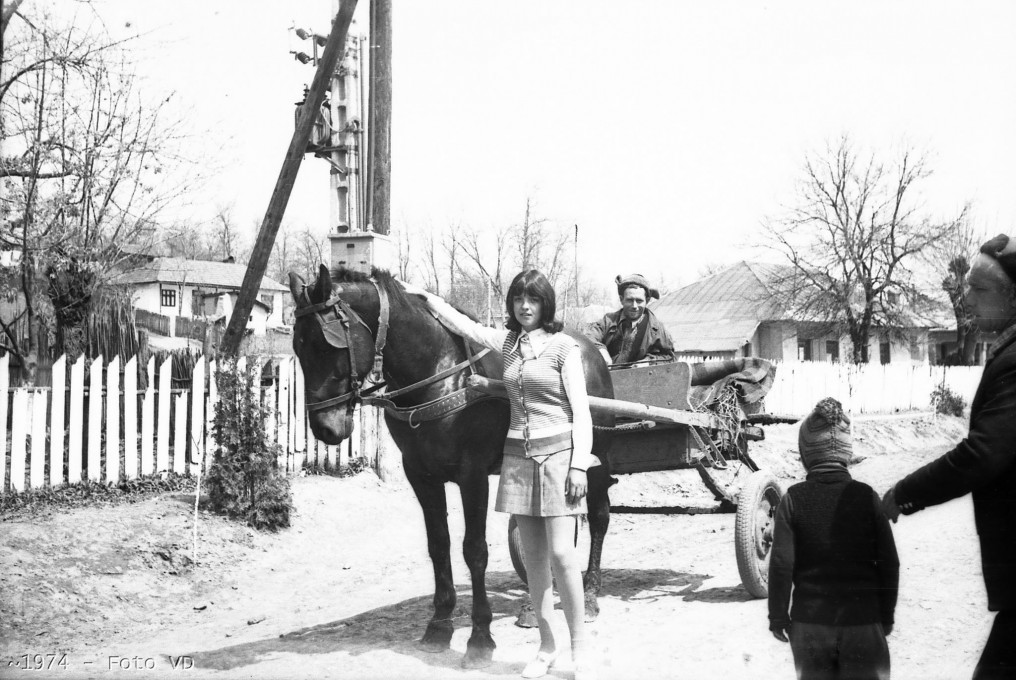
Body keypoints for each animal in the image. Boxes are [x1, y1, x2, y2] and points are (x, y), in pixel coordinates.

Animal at [288, 265, 615, 668]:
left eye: (327, 343)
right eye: (298, 346)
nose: (325, 429)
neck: (439, 375)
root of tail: (588, 348)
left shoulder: (472, 475)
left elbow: (474, 550)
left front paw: (480, 637)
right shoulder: (421, 475)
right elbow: (438, 544)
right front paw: (439, 625)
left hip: (594, 460)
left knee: (599, 517)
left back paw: (590, 594)